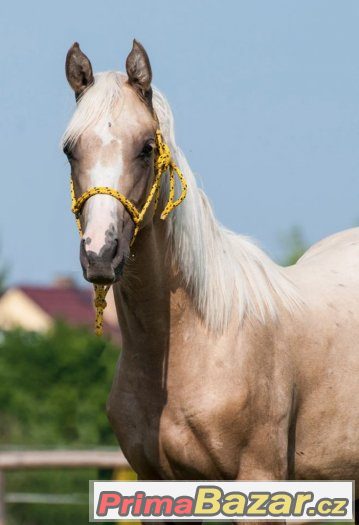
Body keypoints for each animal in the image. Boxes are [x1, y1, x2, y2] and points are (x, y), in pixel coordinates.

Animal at [63, 40, 358, 520]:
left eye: (146, 148)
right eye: (71, 150)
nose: (100, 254)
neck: (199, 337)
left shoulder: (259, 482)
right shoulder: (159, 486)